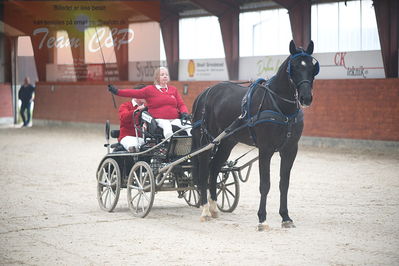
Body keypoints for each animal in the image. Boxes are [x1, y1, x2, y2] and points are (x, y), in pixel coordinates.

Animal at [192, 40, 320, 230]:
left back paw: (214, 208)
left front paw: (285, 217)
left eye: (313, 67)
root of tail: (205, 92)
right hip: (207, 140)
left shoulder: (290, 150)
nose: (306, 98)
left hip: (227, 142)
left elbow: (284, 184)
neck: (280, 107)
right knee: (203, 171)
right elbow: (265, 184)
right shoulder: (265, 150)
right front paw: (262, 219)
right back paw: (205, 210)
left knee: (214, 169)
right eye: (295, 66)